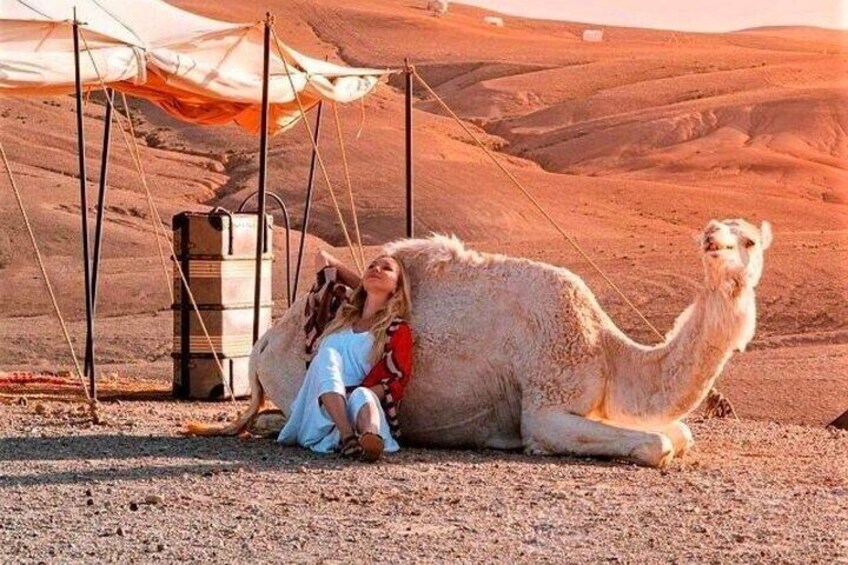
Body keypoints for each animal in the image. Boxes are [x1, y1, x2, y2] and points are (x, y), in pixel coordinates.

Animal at [190, 217, 768, 468]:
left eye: (748, 238)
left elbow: (680, 434)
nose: (711, 240)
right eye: (717, 230)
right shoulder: (544, 407)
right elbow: (657, 445)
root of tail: (264, 344)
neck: (606, 353)